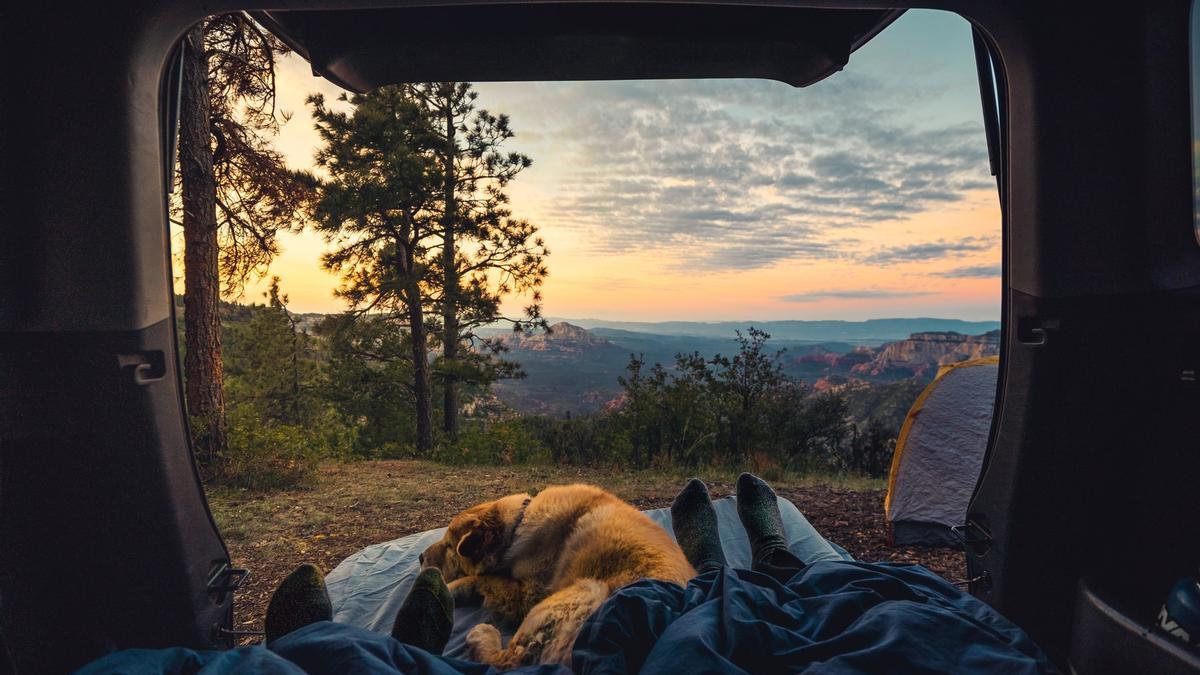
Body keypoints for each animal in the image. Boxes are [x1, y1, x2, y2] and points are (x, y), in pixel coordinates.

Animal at [420, 480, 696, 662]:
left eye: (448, 546)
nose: (420, 557)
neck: (518, 524)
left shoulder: (526, 595)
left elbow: (481, 578)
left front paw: (448, 588)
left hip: (583, 590)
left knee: (509, 662)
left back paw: (482, 635)